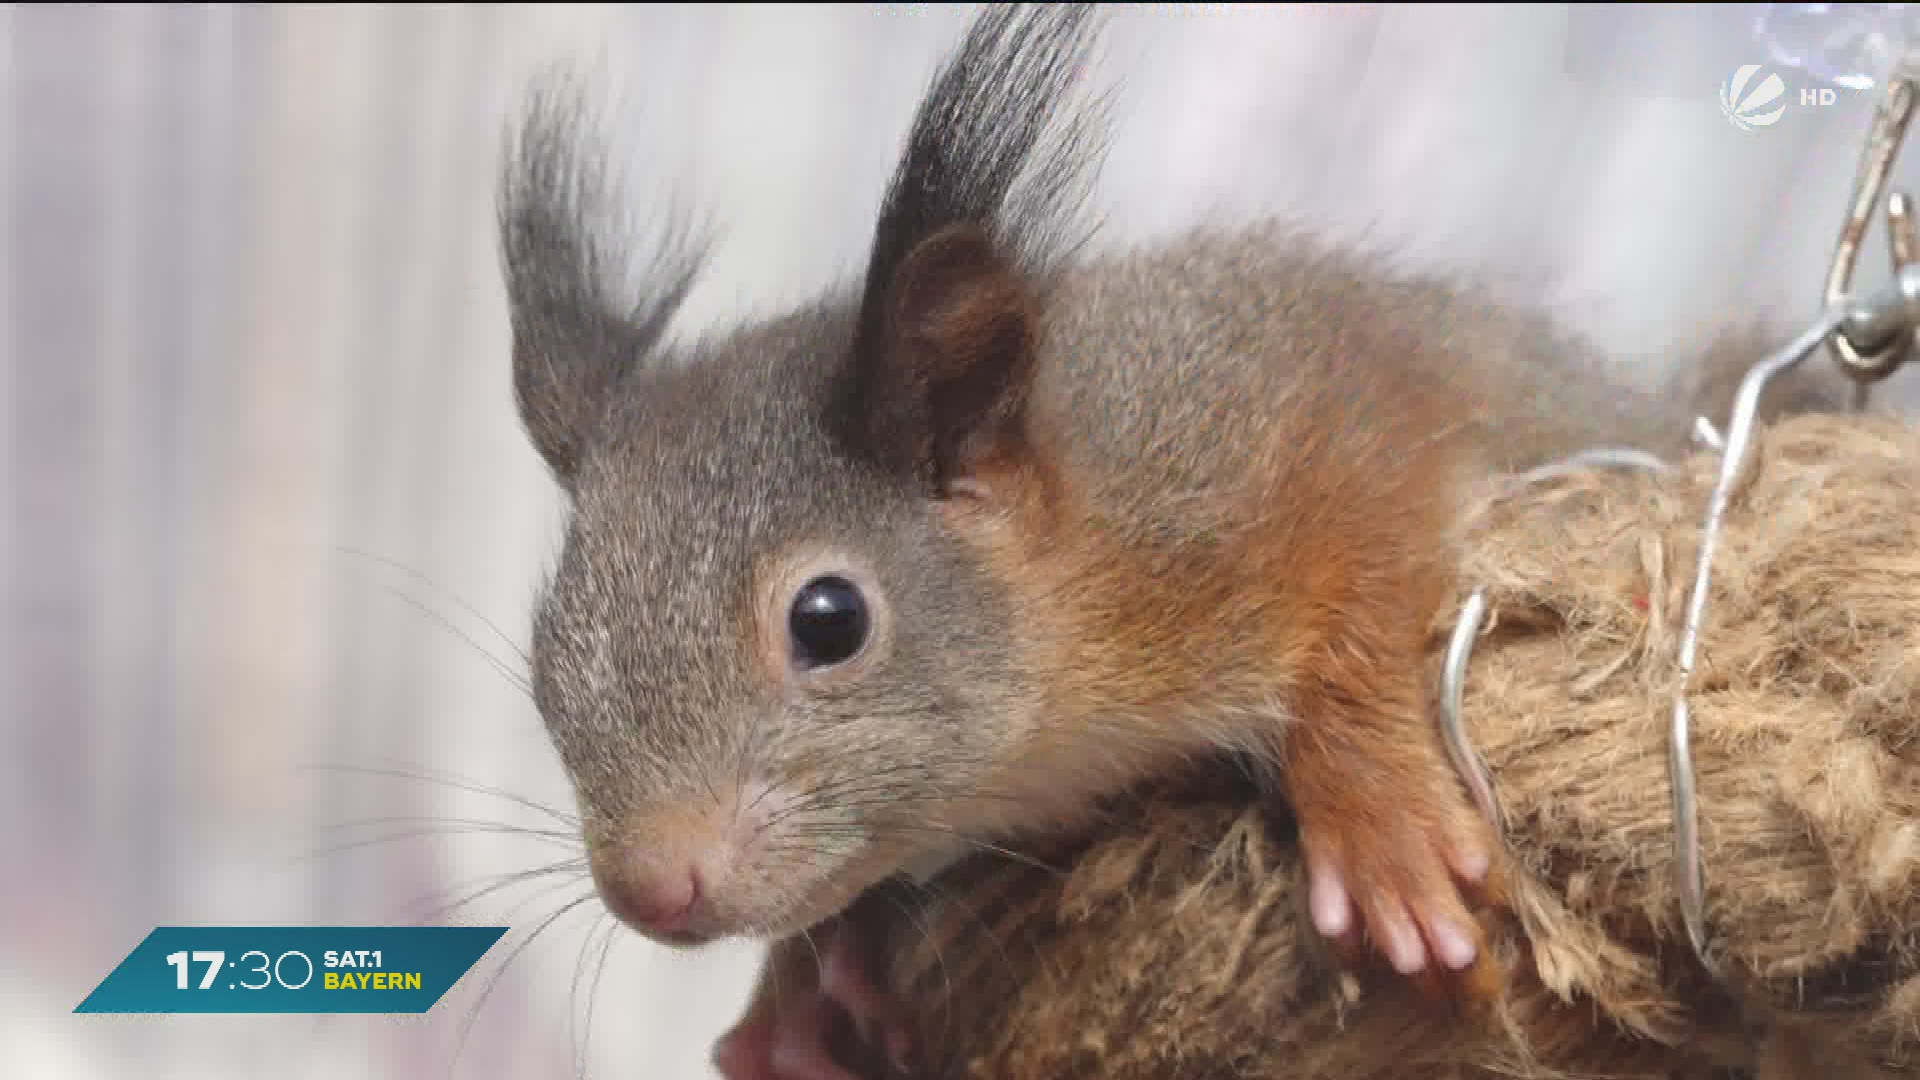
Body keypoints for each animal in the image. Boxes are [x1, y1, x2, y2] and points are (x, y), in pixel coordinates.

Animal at [498, 6, 1849, 1079]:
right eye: (543, 657)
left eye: (828, 621)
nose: (648, 888)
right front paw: (798, 988)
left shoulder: (1288, 432)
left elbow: (1375, 530)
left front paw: (1381, 827)